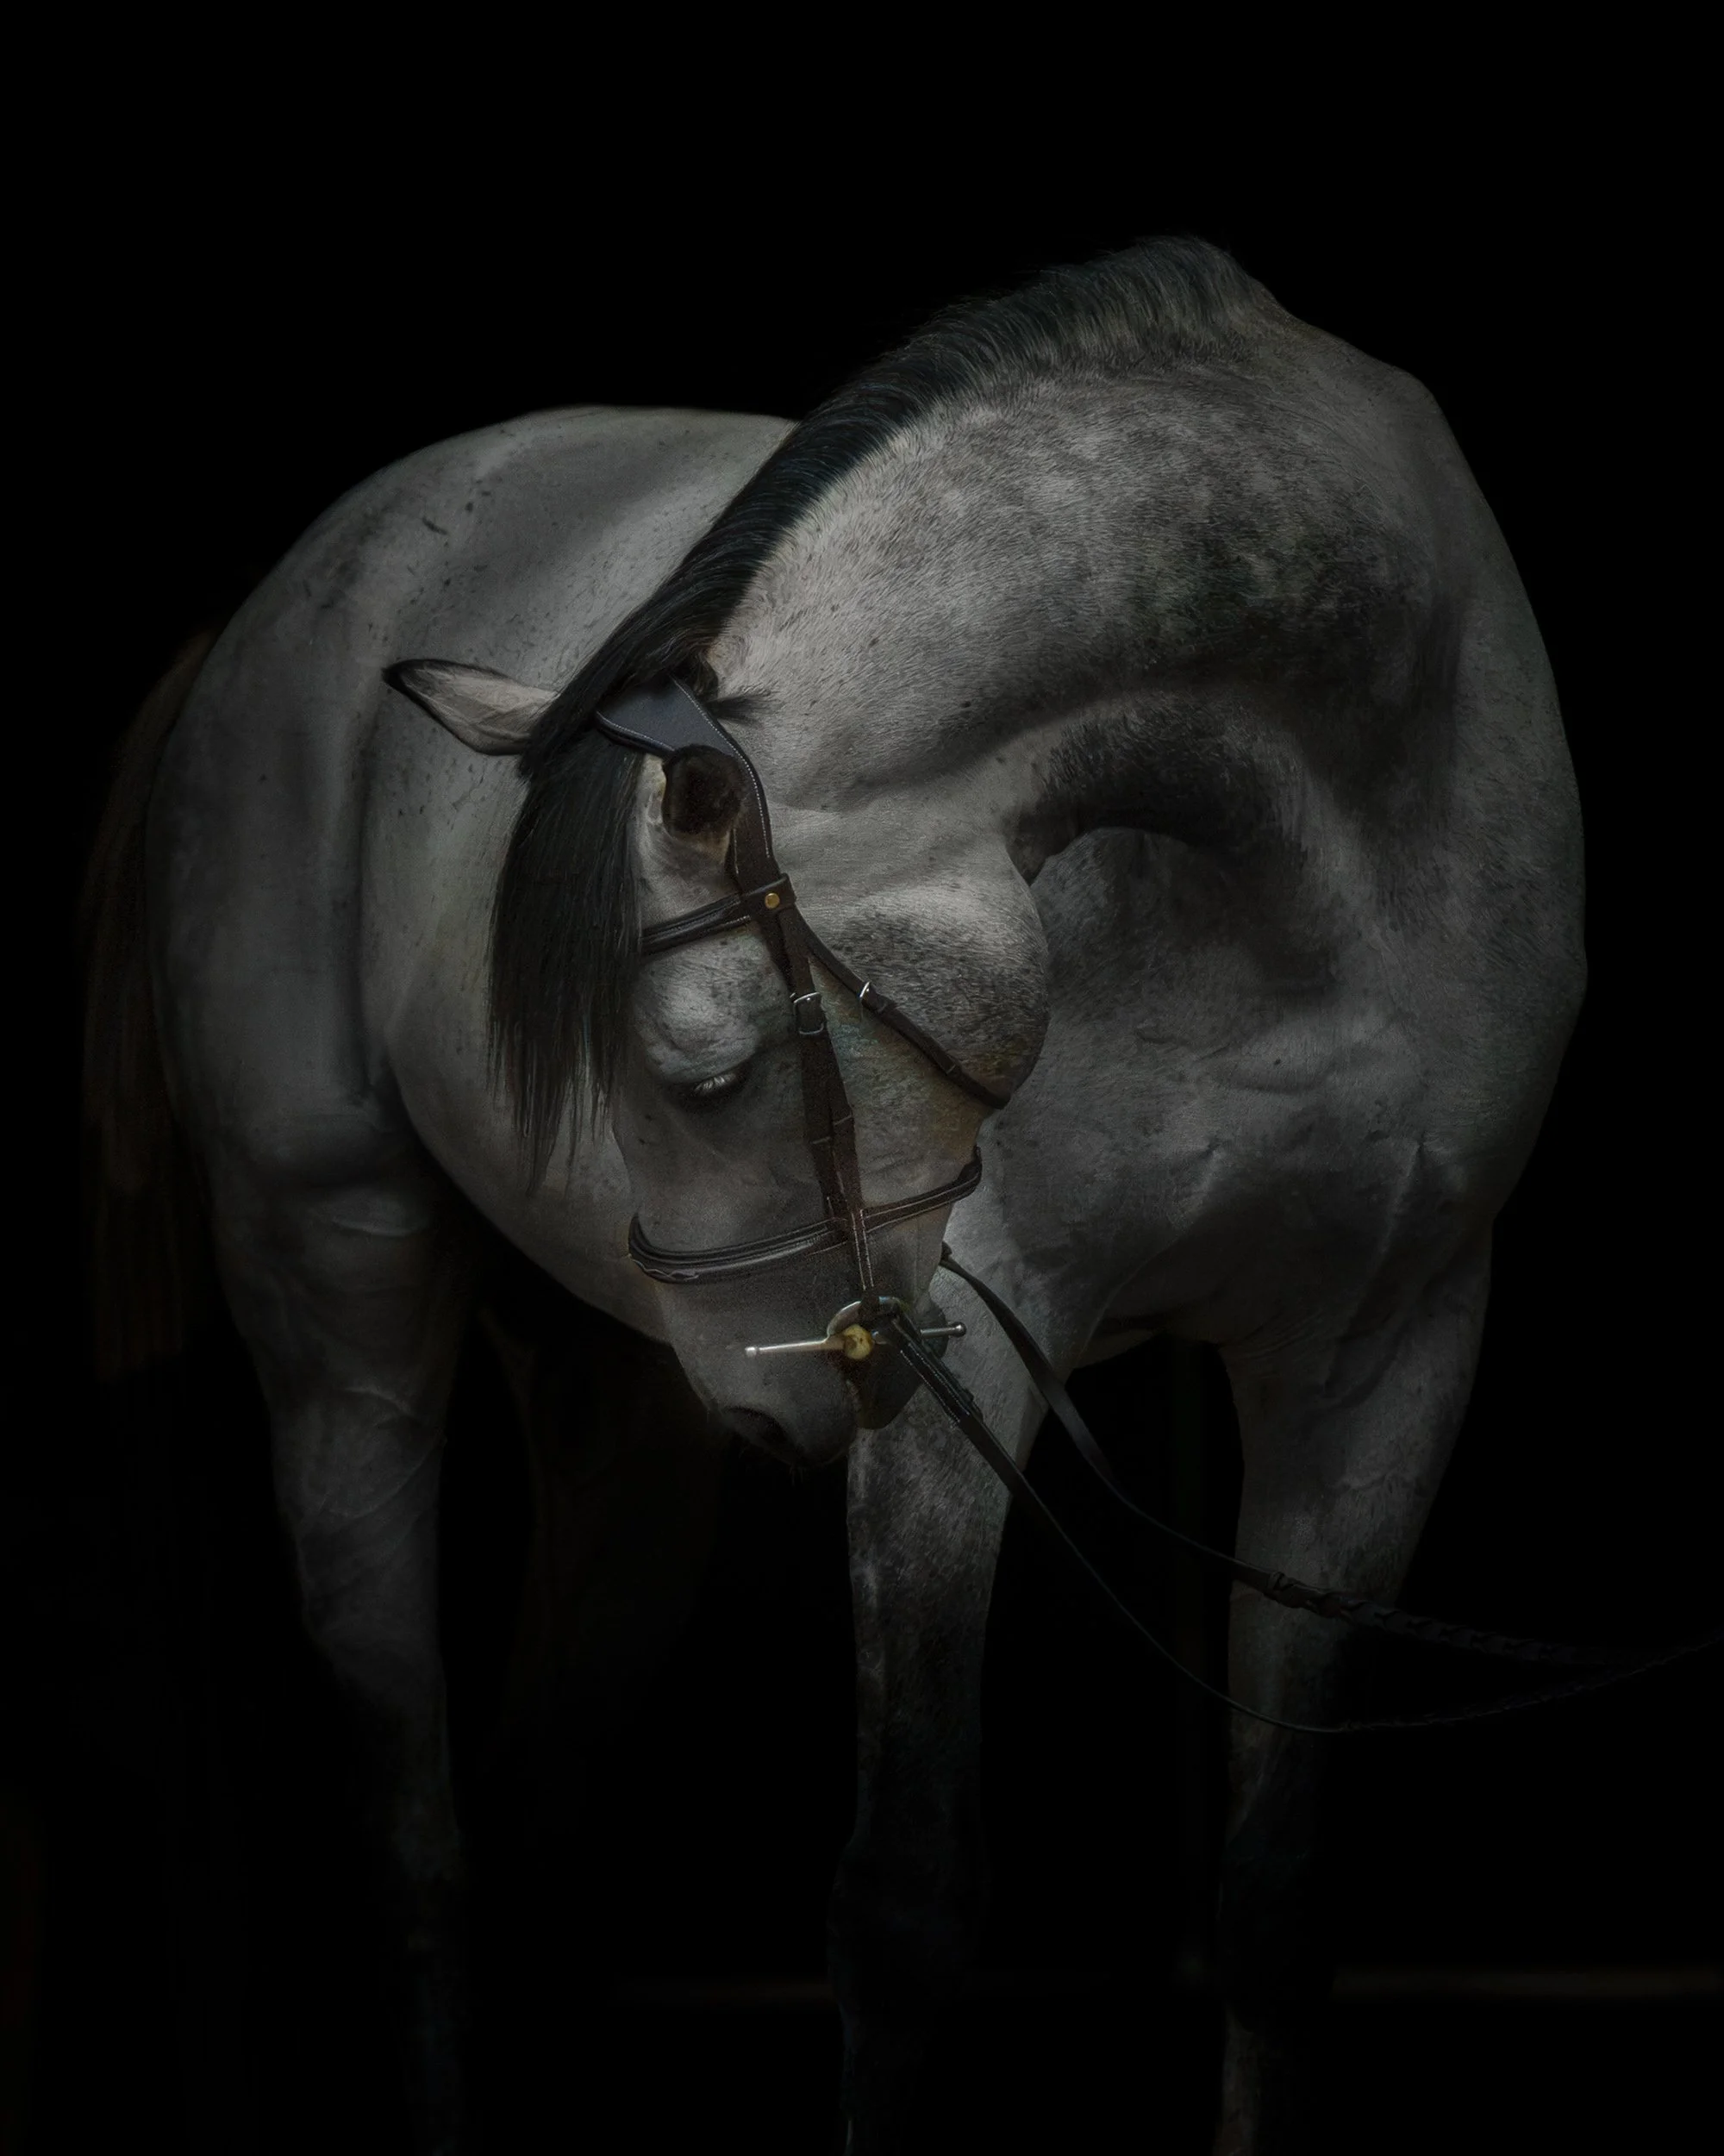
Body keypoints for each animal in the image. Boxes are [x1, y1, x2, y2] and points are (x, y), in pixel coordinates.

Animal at [84, 238, 1584, 2153]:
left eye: (703, 1065)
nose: (777, 1403)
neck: (1316, 850)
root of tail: (278, 598)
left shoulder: (1386, 1352)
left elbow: (1272, 1900)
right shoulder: (963, 1368)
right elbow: (904, 1904)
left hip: (617, 1414)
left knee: (534, 1796)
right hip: (336, 1310)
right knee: (417, 1838)